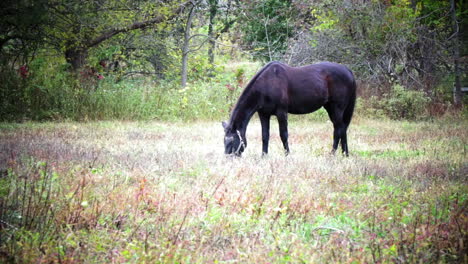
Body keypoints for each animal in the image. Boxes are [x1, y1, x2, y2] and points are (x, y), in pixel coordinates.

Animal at [222, 61, 354, 157]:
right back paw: (344, 154)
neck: (267, 83)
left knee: (339, 130)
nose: (228, 158)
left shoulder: (281, 113)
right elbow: (265, 136)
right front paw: (264, 156)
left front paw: (287, 155)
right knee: (341, 129)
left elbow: (283, 135)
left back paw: (334, 154)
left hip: (337, 108)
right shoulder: (263, 114)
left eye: (232, 141)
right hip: (330, 108)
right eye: (224, 141)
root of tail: (347, 70)